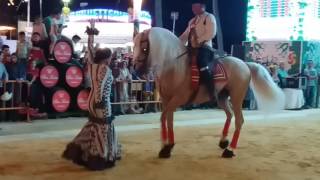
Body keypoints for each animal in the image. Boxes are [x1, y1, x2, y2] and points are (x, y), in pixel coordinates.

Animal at [132, 27, 284, 158]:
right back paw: (223, 141)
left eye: (144, 47)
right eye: (133, 46)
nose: (135, 69)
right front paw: (167, 146)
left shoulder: (177, 99)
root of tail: (244, 64)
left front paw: (165, 148)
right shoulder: (166, 100)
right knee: (230, 115)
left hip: (237, 97)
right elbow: (168, 120)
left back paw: (230, 150)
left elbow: (163, 118)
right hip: (222, 97)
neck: (174, 66)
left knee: (239, 120)